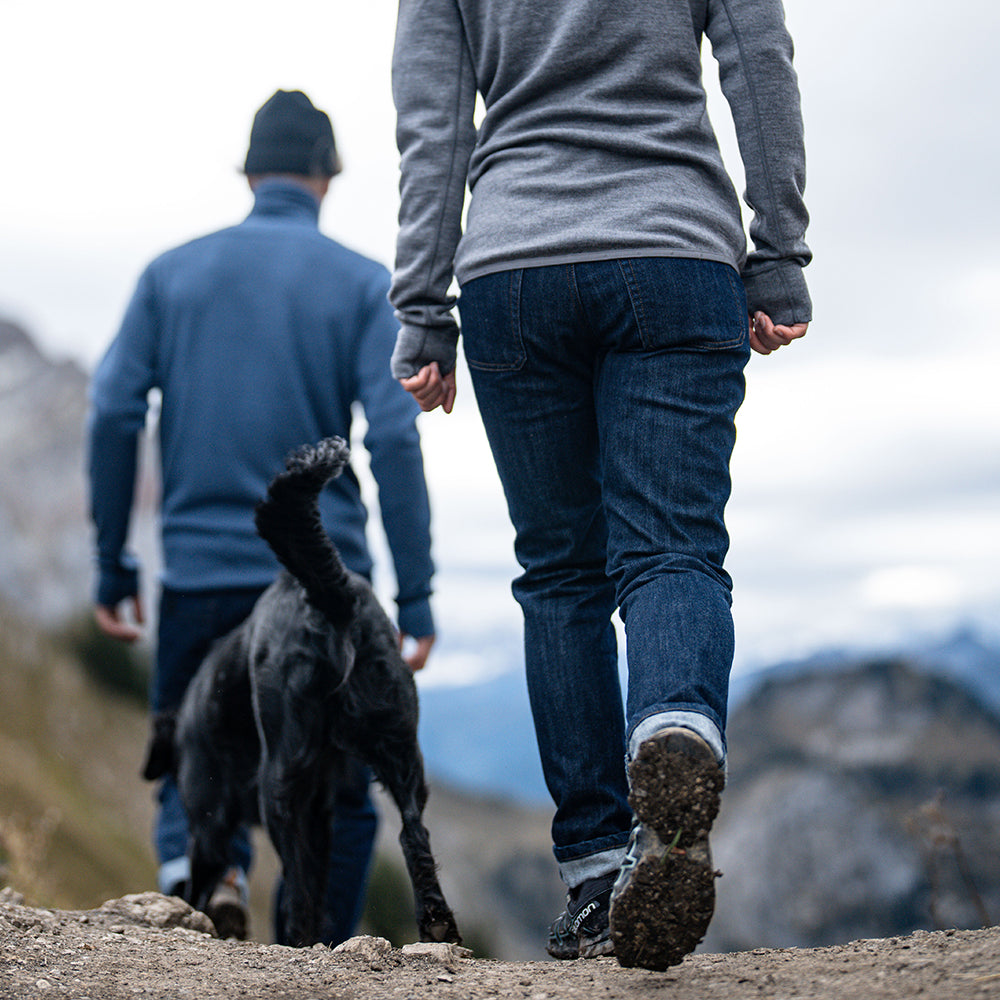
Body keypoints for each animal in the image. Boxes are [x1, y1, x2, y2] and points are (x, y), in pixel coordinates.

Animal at [142, 436, 460, 944]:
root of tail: (329, 595)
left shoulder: (210, 817)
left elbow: (203, 884)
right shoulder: (321, 808)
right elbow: (322, 871)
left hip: (279, 778)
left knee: (293, 880)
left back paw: (301, 938)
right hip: (399, 745)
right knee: (413, 832)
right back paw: (435, 920)